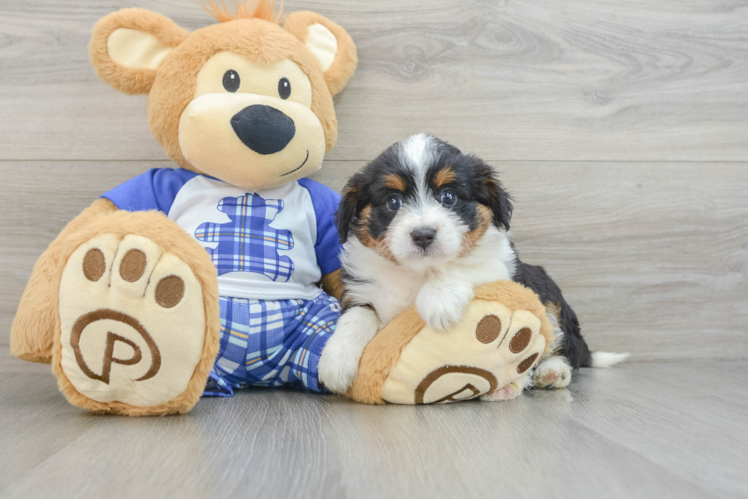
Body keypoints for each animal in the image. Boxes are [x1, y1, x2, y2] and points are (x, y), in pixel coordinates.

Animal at [318, 134, 628, 398]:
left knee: (564, 348)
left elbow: (465, 264)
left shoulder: (503, 266)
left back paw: (551, 372)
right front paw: (336, 361)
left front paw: (439, 300)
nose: (423, 235)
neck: (420, 273)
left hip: (547, 291)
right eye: (393, 201)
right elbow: (357, 315)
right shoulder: (364, 289)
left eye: (448, 197)